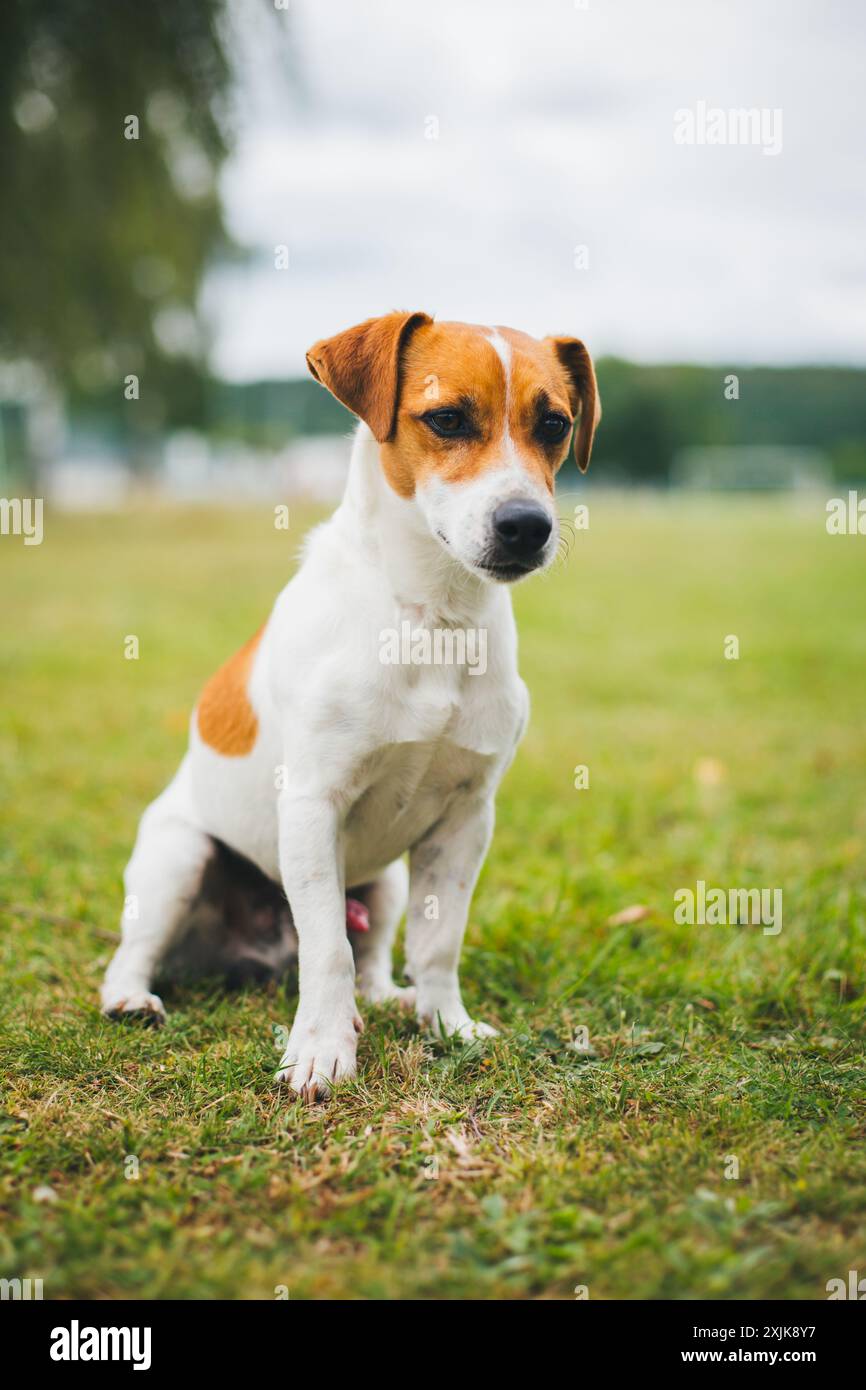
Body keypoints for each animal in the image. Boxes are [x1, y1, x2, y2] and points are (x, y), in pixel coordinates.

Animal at [101, 312, 600, 1095]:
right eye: (447, 418)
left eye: (555, 424)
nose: (527, 525)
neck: (431, 618)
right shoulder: (313, 804)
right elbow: (327, 947)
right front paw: (321, 1050)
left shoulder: (467, 818)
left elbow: (438, 941)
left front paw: (447, 1025)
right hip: (176, 859)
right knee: (140, 950)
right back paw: (130, 996)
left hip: (386, 882)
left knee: (373, 955)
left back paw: (389, 998)